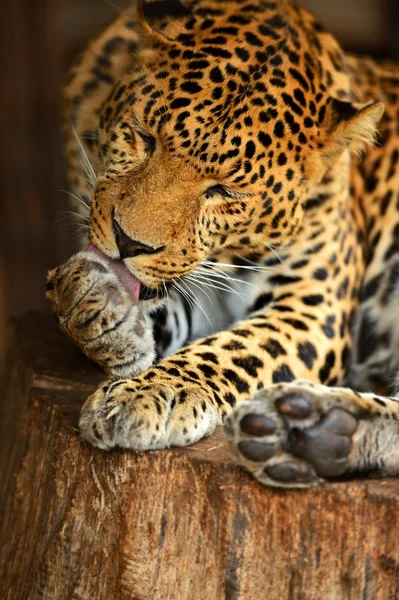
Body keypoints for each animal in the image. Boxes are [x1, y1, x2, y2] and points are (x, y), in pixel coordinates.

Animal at [45, 0, 399, 488]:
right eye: (144, 137)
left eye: (224, 191)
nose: (127, 242)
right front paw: (99, 307)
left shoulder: (311, 305)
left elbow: (233, 350)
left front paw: (156, 393)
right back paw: (318, 434)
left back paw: (310, 428)